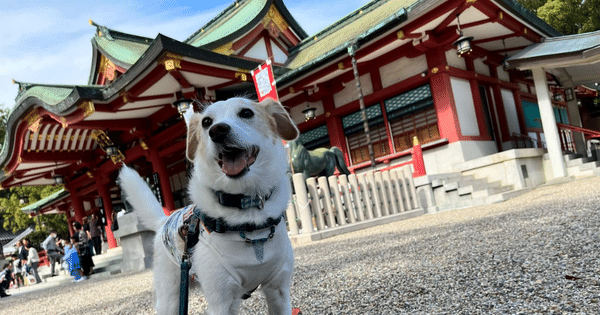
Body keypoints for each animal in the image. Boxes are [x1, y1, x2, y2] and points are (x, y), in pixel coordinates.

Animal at [119, 99, 300, 315]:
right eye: (206, 122)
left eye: (246, 113)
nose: (217, 130)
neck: (246, 208)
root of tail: (164, 220)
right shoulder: (219, 301)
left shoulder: (278, 289)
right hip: (171, 295)